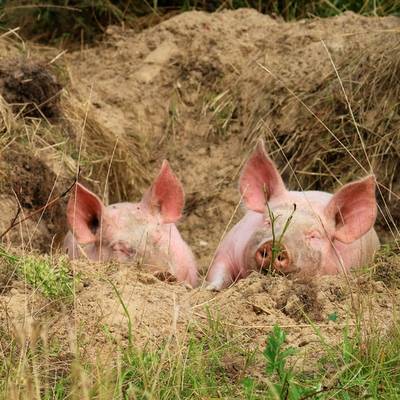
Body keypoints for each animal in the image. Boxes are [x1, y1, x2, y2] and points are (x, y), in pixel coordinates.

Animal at [208, 141, 380, 290]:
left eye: (314, 235)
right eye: (268, 222)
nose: (274, 244)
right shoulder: (228, 245)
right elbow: (218, 270)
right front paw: (212, 289)